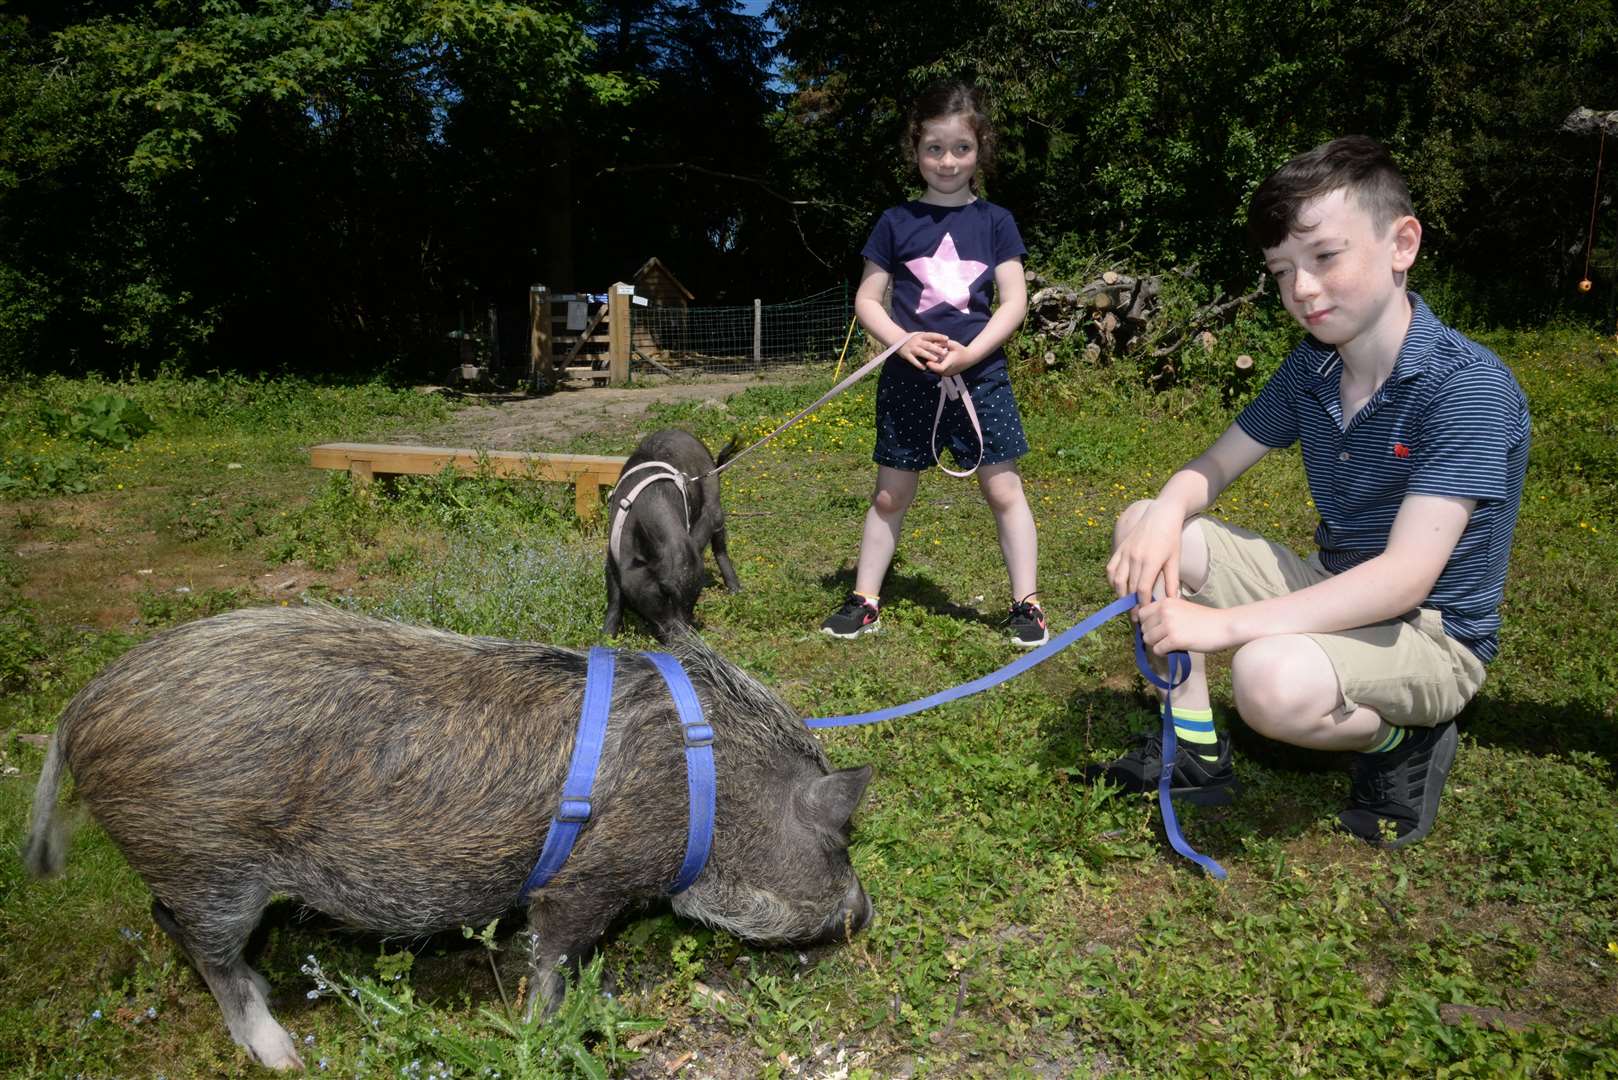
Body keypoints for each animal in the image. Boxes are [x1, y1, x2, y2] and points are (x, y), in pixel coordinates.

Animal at [22, 608, 873, 1075]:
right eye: (839, 841)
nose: (866, 914)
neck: (707, 788)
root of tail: (79, 711)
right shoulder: (581, 884)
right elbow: (553, 962)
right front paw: (546, 1032)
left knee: (170, 924)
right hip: (209, 864)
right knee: (205, 948)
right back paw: (281, 1051)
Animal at [605, 427, 741, 641]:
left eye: (694, 597)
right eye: (664, 591)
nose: (685, 638)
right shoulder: (612, 550)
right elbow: (614, 597)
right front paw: (605, 637)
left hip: (714, 502)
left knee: (720, 545)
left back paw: (736, 591)